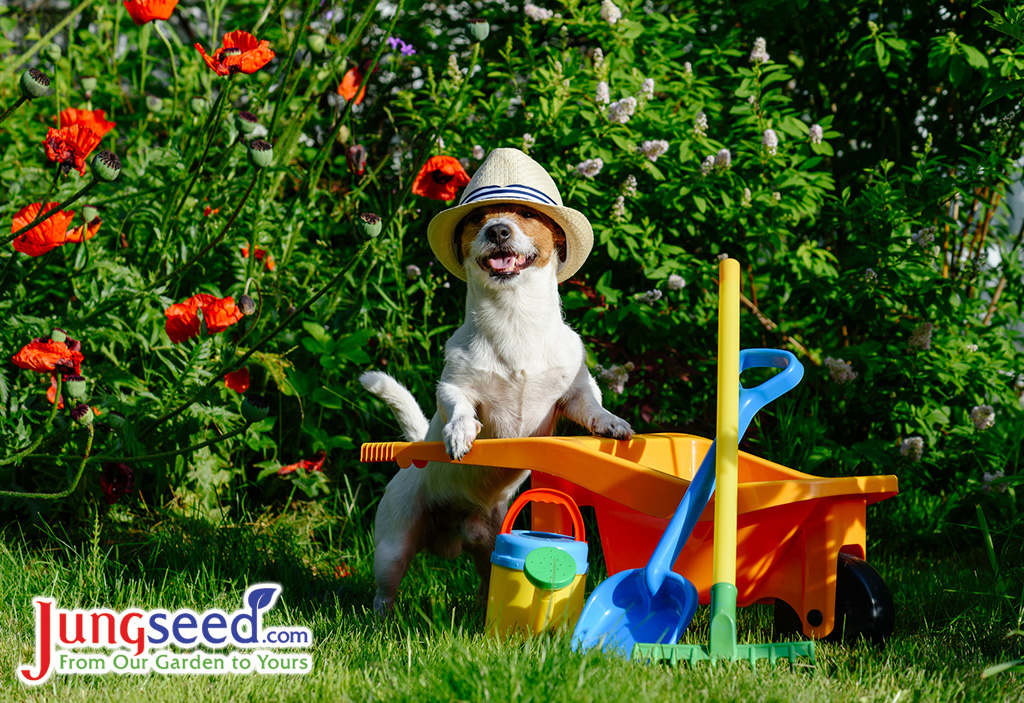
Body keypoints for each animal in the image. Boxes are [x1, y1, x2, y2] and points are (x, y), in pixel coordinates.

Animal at [360, 149, 630, 613]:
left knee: (487, 581)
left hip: (490, 546)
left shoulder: (573, 393)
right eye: (478, 218)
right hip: (393, 546)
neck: (514, 319)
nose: (498, 229)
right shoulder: (455, 386)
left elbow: (592, 405)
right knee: (384, 591)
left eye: (526, 214)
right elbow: (459, 406)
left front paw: (610, 422)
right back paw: (381, 618)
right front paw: (459, 433)